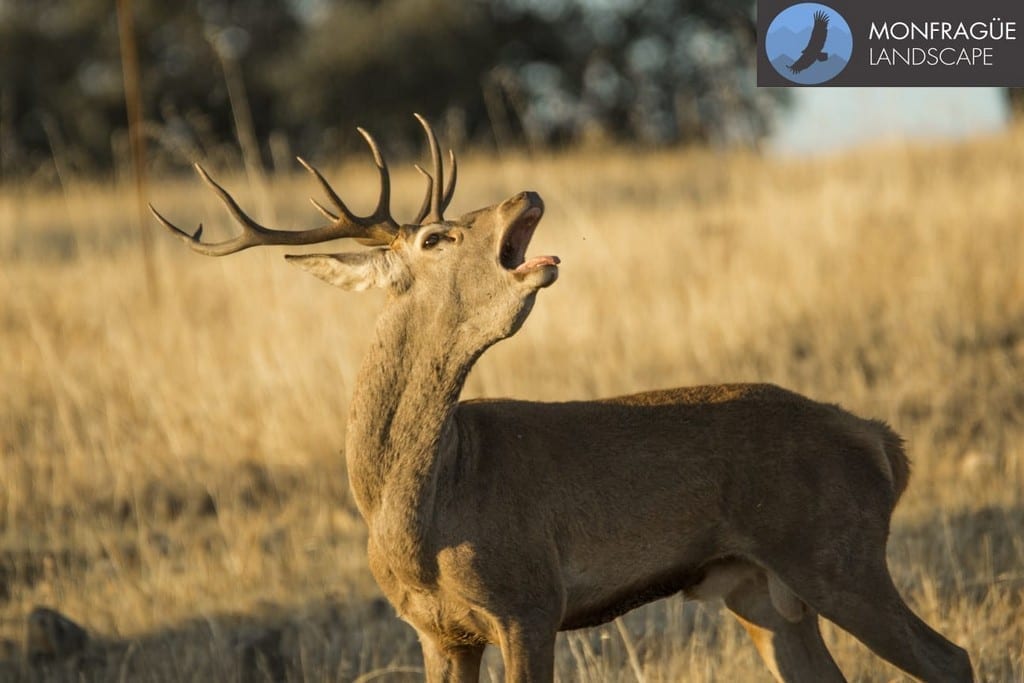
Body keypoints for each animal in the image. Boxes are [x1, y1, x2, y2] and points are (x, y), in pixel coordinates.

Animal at [151, 115, 973, 683]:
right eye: (437, 237)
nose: (526, 190)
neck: (415, 510)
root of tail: (881, 441)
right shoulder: (438, 631)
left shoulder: (529, 599)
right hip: (762, 590)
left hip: (835, 549)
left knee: (950, 658)